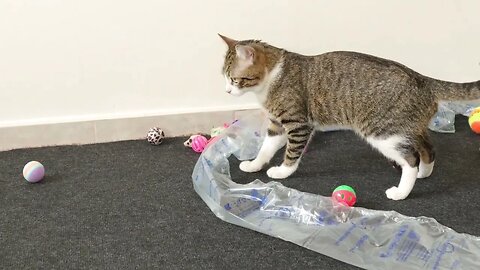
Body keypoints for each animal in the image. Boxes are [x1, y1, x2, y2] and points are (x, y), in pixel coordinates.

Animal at [218, 34, 480, 200]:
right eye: (225, 78)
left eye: (234, 79)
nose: (227, 91)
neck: (271, 79)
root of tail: (422, 79)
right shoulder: (277, 124)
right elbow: (266, 147)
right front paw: (254, 164)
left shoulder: (299, 123)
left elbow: (292, 153)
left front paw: (283, 172)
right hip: (408, 128)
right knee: (428, 148)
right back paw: (425, 172)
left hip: (382, 132)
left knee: (410, 159)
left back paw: (401, 191)